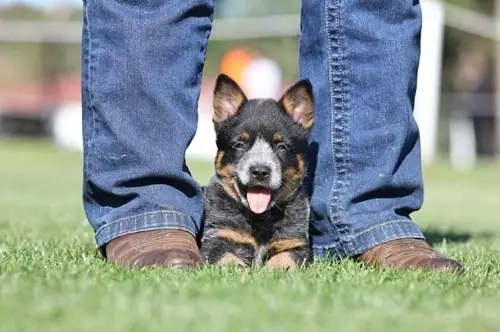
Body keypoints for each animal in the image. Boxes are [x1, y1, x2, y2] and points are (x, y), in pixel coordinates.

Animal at [199, 74, 312, 272]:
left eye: (281, 146)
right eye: (239, 144)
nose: (260, 171)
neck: (260, 219)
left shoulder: (294, 243)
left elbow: (284, 260)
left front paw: (275, 271)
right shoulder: (218, 237)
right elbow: (228, 260)